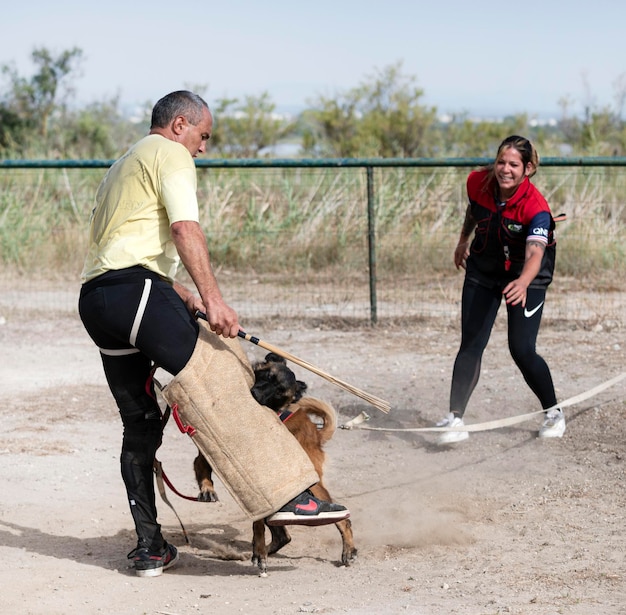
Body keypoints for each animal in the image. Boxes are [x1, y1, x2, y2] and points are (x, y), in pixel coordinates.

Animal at [193, 354, 354, 576]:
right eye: (267, 375)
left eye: (279, 392)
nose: (254, 394)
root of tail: (315, 432)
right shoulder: (205, 452)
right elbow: (202, 467)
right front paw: (207, 489)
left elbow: (258, 525)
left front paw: (260, 550)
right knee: (283, 536)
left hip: (309, 484)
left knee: (342, 520)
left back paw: (348, 549)